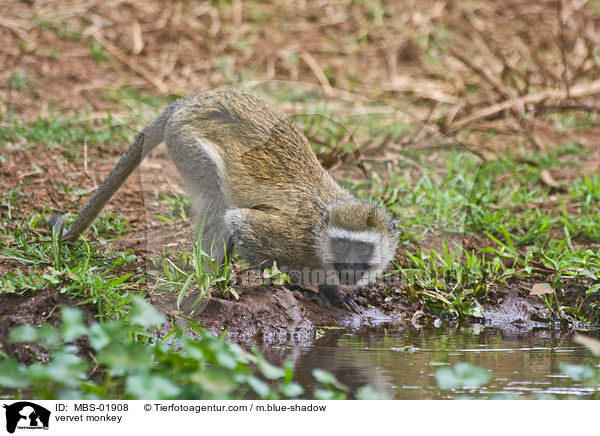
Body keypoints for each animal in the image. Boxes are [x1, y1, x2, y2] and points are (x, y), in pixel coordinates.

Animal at [52, 88, 398, 306]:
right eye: (341, 245)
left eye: (362, 248)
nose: (349, 266)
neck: (318, 234)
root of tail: (192, 101)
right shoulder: (291, 238)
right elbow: (240, 223)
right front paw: (300, 287)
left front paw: (334, 294)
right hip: (187, 144)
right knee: (217, 205)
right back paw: (213, 278)